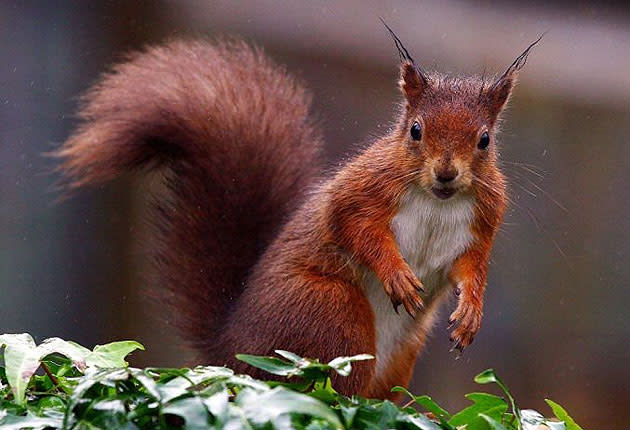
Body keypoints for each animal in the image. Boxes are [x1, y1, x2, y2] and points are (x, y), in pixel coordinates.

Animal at [59, 28, 540, 400]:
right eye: (416, 130)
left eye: (484, 140)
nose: (445, 173)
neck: (437, 201)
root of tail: (229, 351)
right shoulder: (361, 192)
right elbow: (357, 229)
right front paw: (397, 275)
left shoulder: (483, 221)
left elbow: (472, 268)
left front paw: (470, 313)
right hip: (330, 313)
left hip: (400, 356)